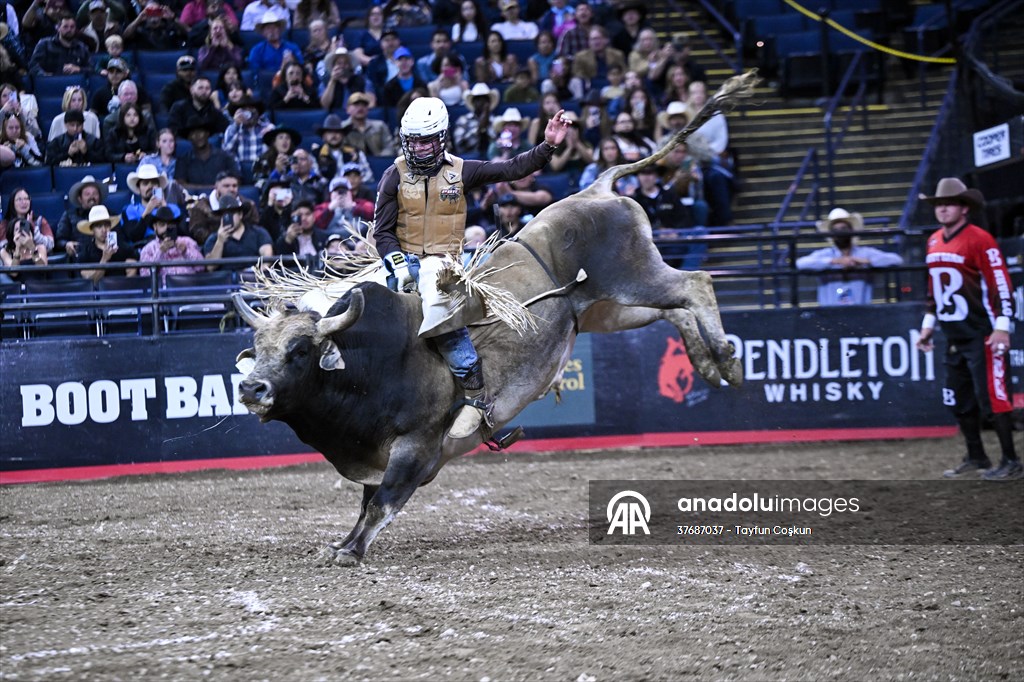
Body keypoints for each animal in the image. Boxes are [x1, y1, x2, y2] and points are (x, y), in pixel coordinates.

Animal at [233, 71, 758, 565]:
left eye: (301, 351)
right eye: (258, 350)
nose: (251, 388)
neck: (367, 362)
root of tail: (597, 189)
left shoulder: (416, 447)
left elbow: (383, 501)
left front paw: (351, 551)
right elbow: (367, 502)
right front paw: (342, 542)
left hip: (634, 277)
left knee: (696, 284)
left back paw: (729, 361)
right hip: (611, 308)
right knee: (676, 311)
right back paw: (707, 363)